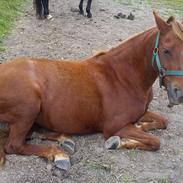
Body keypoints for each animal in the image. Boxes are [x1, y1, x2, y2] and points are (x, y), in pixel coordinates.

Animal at [0, 12, 182, 170]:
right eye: (166, 50)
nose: (178, 94)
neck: (122, 77)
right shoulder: (114, 127)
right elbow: (155, 141)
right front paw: (119, 142)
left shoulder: (141, 113)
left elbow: (163, 121)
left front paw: (141, 125)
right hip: (29, 108)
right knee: (14, 145)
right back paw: (60, 155)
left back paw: (65, 140)